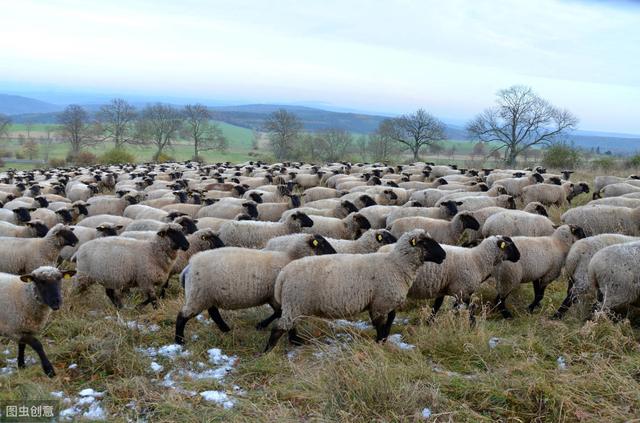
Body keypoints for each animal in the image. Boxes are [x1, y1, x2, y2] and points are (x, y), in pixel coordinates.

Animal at [175, 235, 336, 344]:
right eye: (322, 244)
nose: (335, 254)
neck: (290, 258)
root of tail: (188, 267)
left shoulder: (273, 296)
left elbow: (278, 313)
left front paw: (261, 325)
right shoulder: (278, 296)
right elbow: (281, 314)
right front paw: (294, 339)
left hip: (207, 295)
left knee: (213, 312)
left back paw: (225, 329)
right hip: (198, 294)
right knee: (182, 316)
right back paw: (179, 340)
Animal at [262, 230, 448, 352]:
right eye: (425, 242)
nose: (444, 255)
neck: (396, 265)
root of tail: (283, 275)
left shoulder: (385, 300)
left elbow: (391, 318)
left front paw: (384, 339)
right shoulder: (380, 303)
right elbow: (380, 324)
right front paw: (379, 342)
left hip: (294, 305)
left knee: (289, 326)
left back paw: (296, 342)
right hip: (295, 303)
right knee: (279, 328)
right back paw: (268, 352)